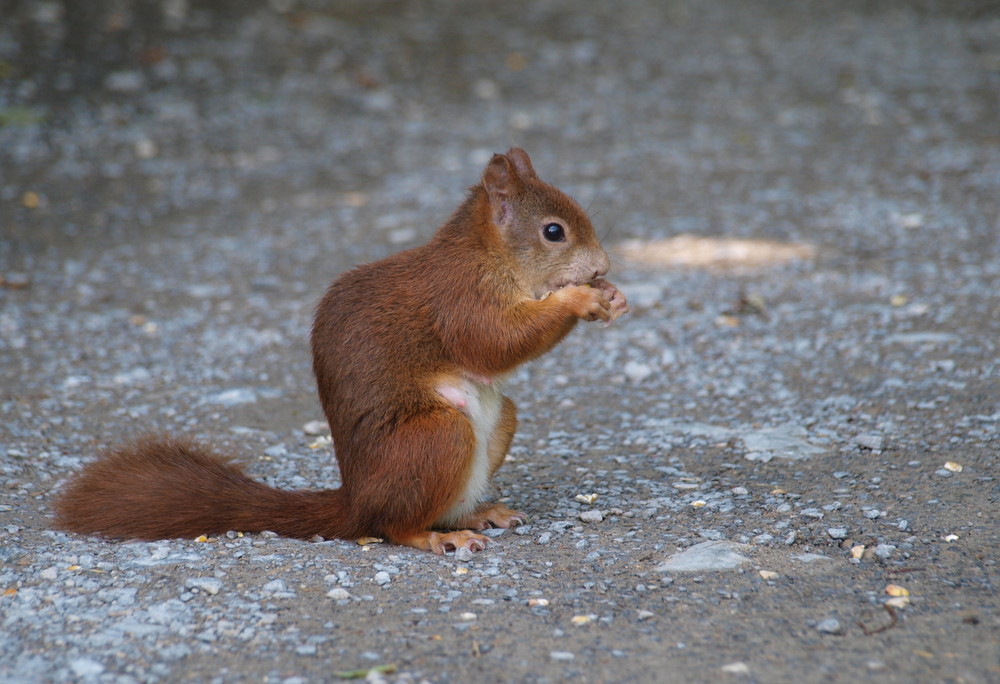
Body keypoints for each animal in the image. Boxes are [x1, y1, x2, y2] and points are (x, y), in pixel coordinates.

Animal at [52, 147, 624, 552]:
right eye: (554, 232)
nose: (602, 266)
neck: (489, 257)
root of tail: (356, 503)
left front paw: (611, 296)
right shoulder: (460, 299)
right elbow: (494, 342)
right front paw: (580, 298)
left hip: (497, 422)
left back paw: (479, 513)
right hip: (436, 437)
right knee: (395, 526)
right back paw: (439, 537)